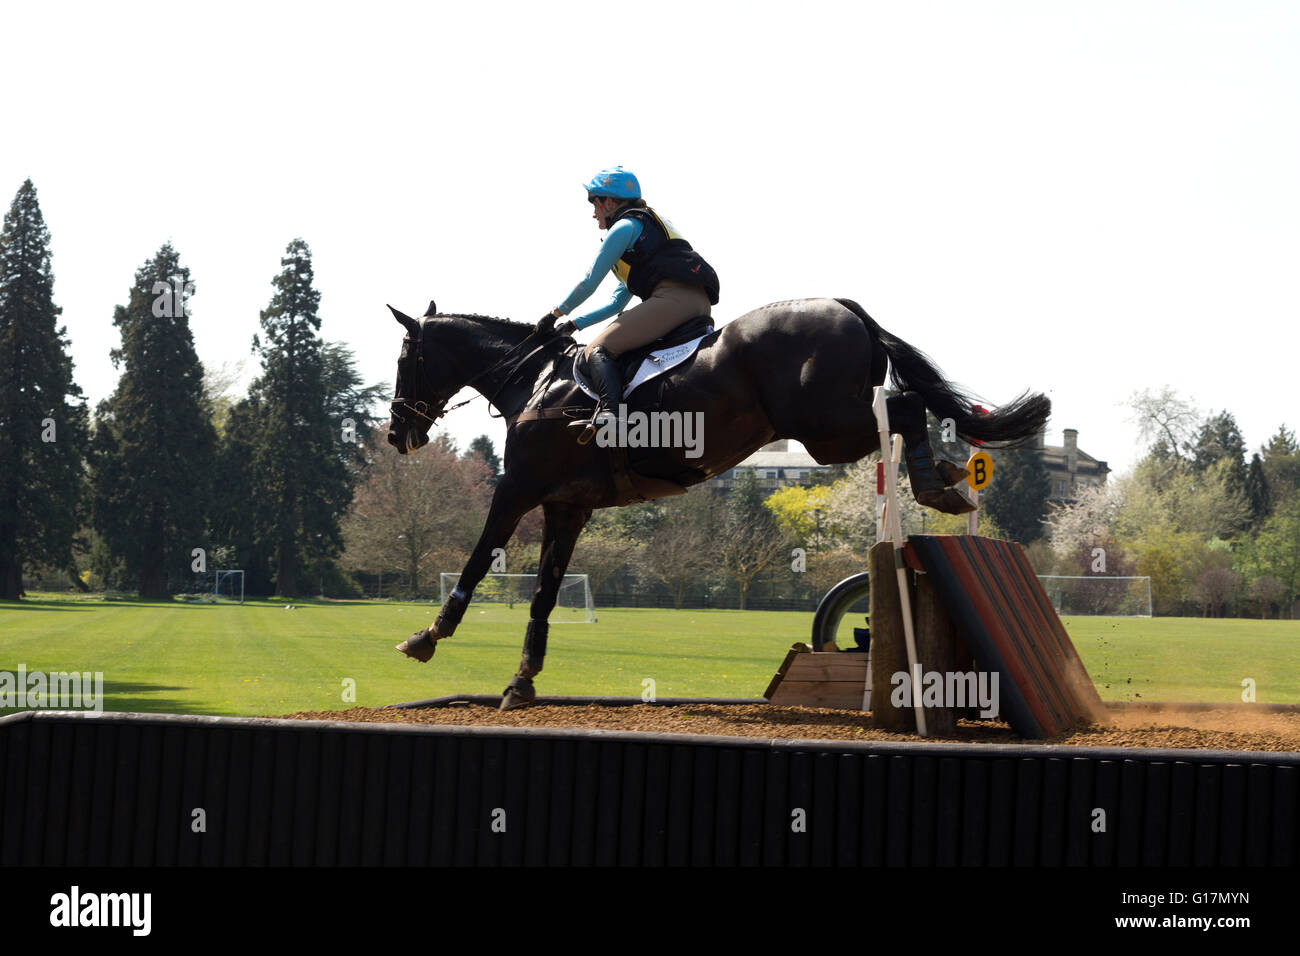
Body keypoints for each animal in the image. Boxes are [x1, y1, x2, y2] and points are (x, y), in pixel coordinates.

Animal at [382, 299, 1045, 712]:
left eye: (405, 360)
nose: (395, 436)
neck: (535, 380)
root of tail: (845, 306)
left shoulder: (516, 490)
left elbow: (476, 561)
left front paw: (427, 636)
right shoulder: (566, 509)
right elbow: (544, 594)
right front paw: (521, 682)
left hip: (823, 427)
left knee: (905, 408)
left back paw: (937, 482)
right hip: (830, 427)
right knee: (908, 407)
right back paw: (945, 479)